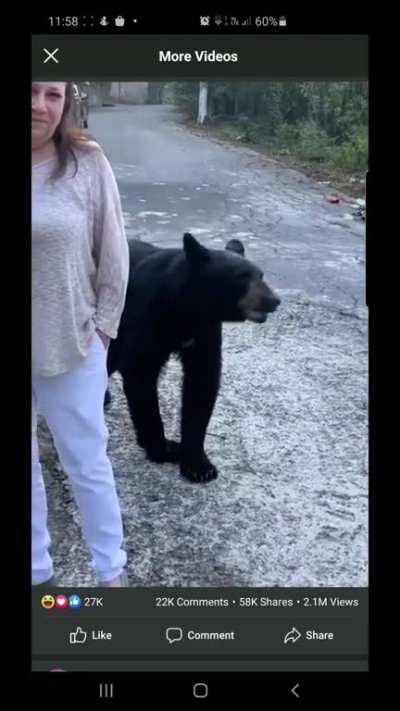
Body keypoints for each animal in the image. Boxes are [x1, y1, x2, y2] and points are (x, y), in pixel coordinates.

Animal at [106, 233, 280, 483]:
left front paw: (198, 464)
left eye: (261, 275)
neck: (184, 307)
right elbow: (141, 373)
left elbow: (201, 383)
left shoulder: (205, 330)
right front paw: (163, 448)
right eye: (241, 277)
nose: (274, 300)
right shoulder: (144, 318)